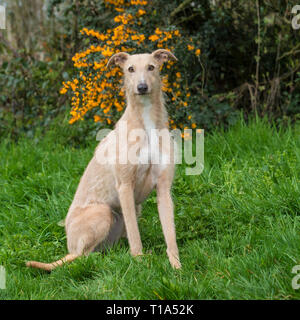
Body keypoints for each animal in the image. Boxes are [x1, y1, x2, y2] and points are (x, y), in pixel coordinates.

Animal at [26, 48, 180, 272]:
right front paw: (140, 262)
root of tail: (70, 245)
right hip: (103, 212)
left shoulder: (163, 188)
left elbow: (170, 234)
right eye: (130, 69)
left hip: (127, 214)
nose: (142, 87)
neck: (145, 123)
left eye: (151, 67)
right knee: (80, 257)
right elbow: (135, 237)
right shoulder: (125, 186)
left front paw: (177, 267)